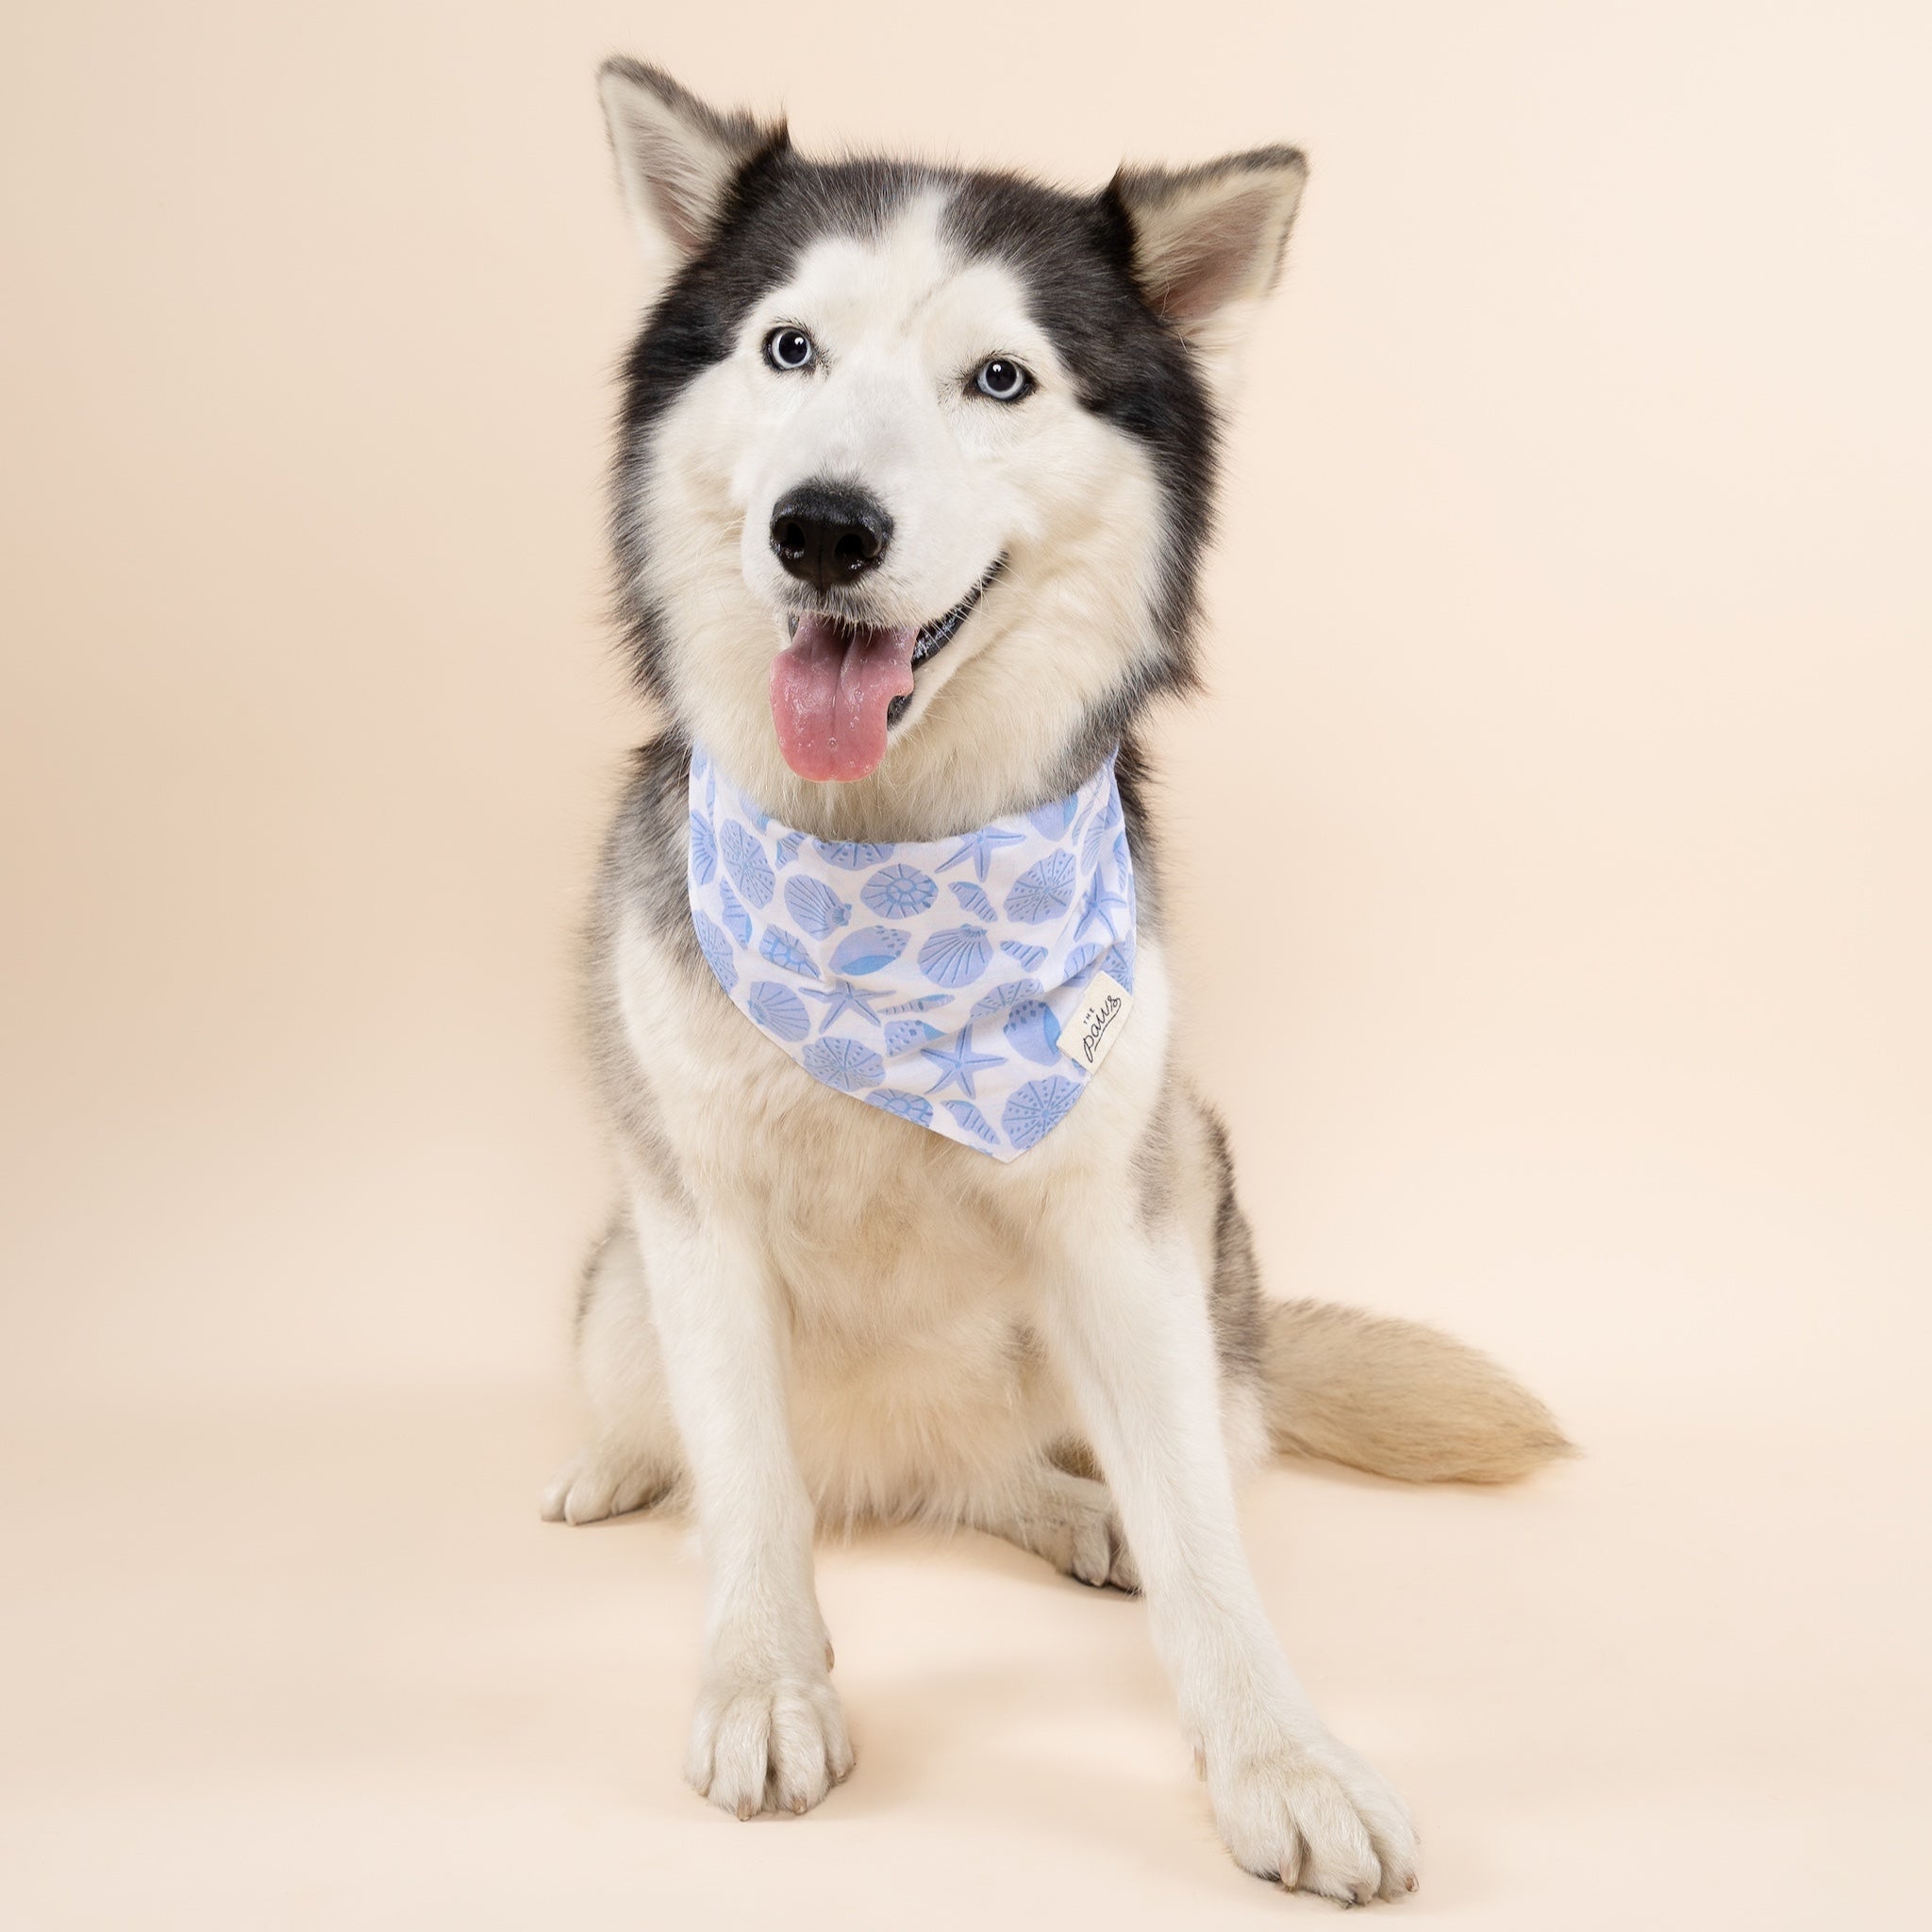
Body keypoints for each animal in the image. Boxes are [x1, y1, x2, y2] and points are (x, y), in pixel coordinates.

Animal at [544, 56, 1568, 1901]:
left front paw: (1281, 1758)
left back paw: (1075, 1511)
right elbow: (745, 1483)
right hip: (614, 1278)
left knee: (1047, 1472)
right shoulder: (692, 1207)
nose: (823, 528)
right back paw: (623, 1469)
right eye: (787, 349)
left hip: (1202, 1185)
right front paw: (765, 1677)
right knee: (724, 1446)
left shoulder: (1120, 1212)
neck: (893, 871)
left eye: (1000, 377)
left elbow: (1205, 1537)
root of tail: (888, 1469)